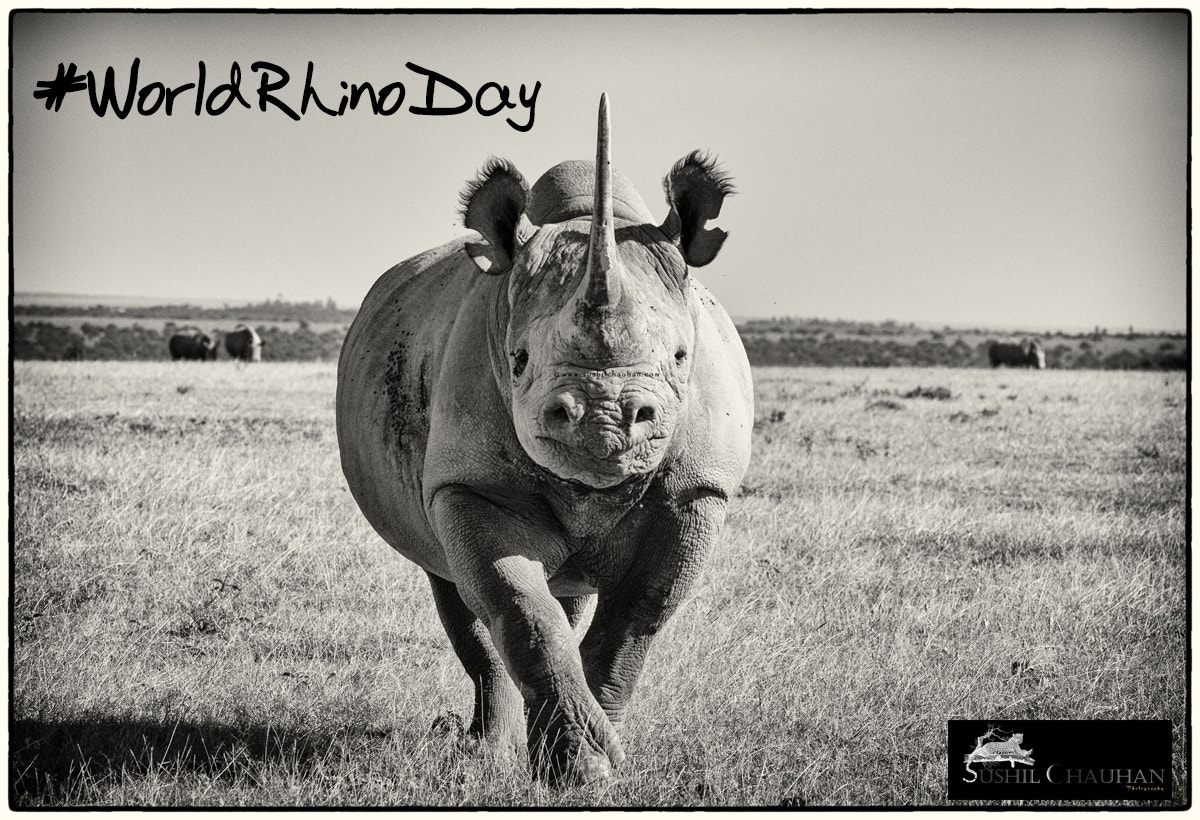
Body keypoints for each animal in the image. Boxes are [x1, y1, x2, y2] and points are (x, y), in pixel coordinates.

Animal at [336, 95, 753, 786]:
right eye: (519, 359)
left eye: (680, 356)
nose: (603, 424)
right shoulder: (469, 483)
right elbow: (520, 610)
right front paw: (580, 767)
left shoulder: (696, 491)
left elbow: (634, 621)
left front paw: (596, 758)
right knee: (452, 582)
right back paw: (486, 748)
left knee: (568, 593)